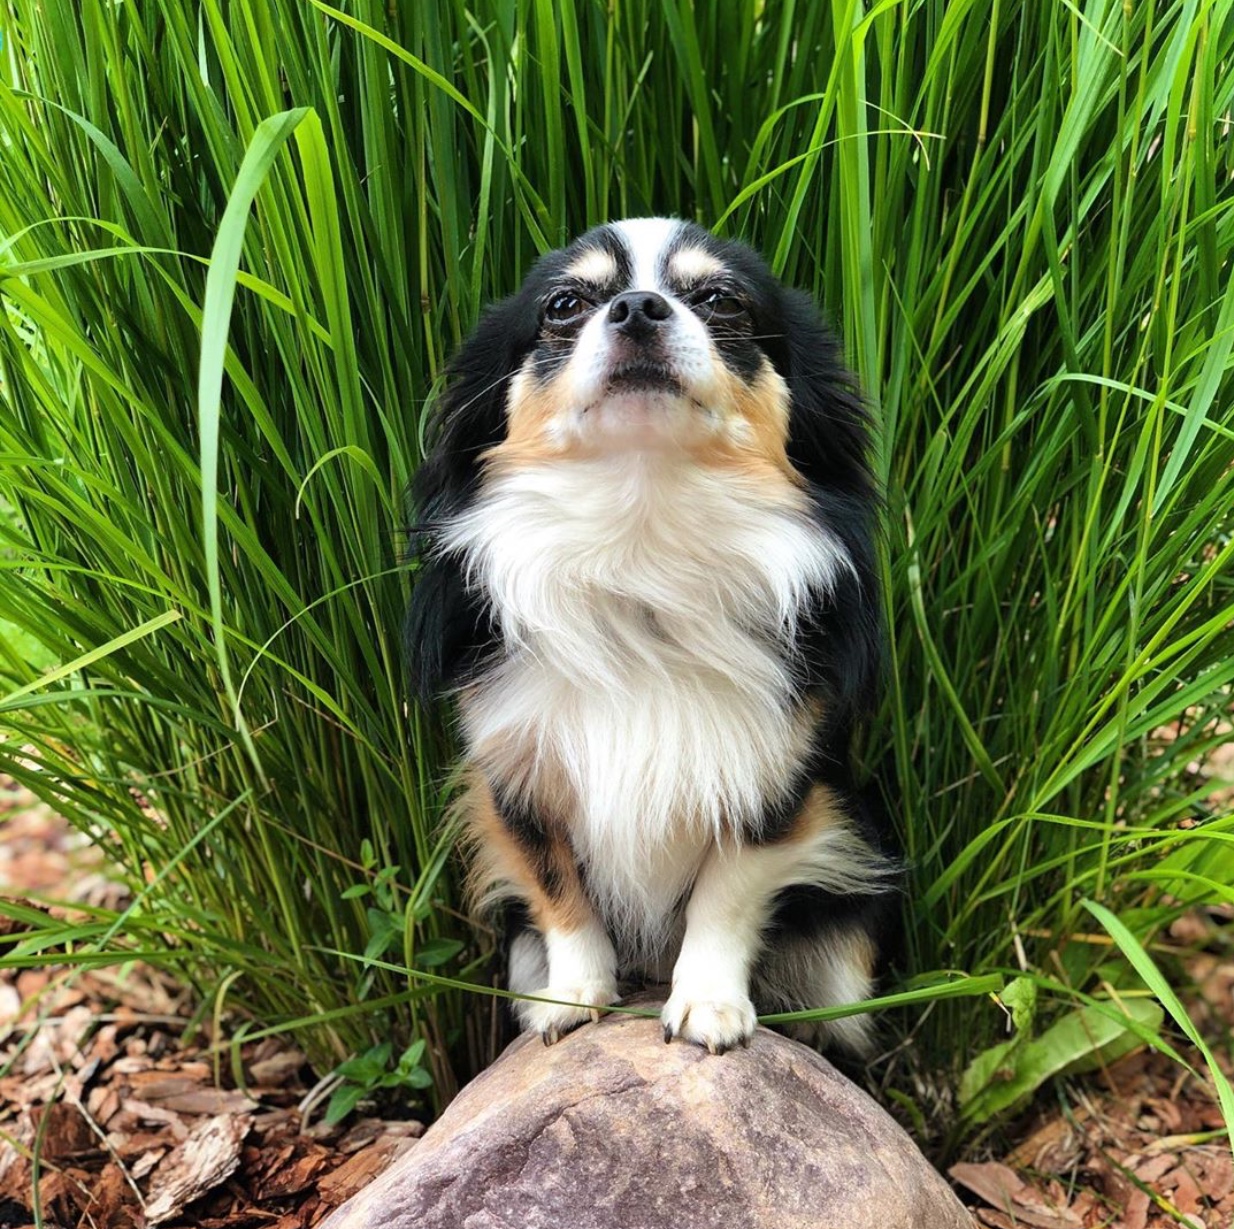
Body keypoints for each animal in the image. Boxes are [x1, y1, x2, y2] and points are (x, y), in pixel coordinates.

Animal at [409, 215, 903, 1051]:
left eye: (721, 301)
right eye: (564, 305)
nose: (640, 306)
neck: (642, 538)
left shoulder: (776, 781)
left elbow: (724, 895)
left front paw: (708, 1003)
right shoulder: (516, 776)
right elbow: (558, 889)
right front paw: (576, 993)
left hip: (843, 962)